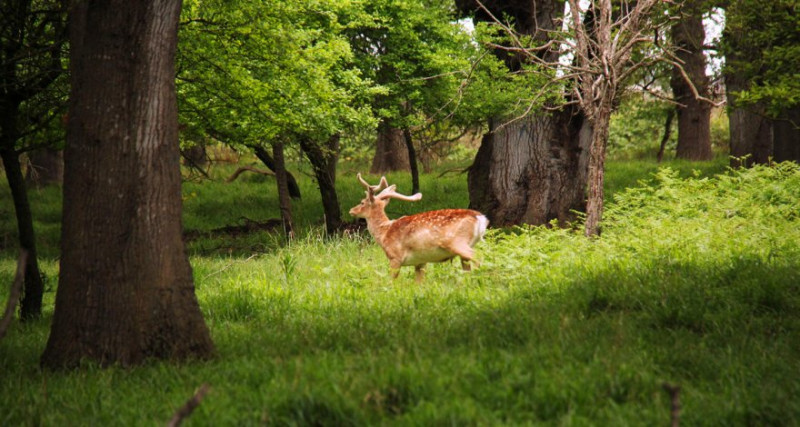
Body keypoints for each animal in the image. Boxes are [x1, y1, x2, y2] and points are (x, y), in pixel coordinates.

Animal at [348, 172, 488, 282]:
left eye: (362, 202)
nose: (351, 210)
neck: (384, 233)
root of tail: (481, 218)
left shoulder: (395, 257)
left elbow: (391, 282)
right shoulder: (420, 262)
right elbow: (419, 285)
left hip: (457, 242)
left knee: (480, 257)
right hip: (466, 247)